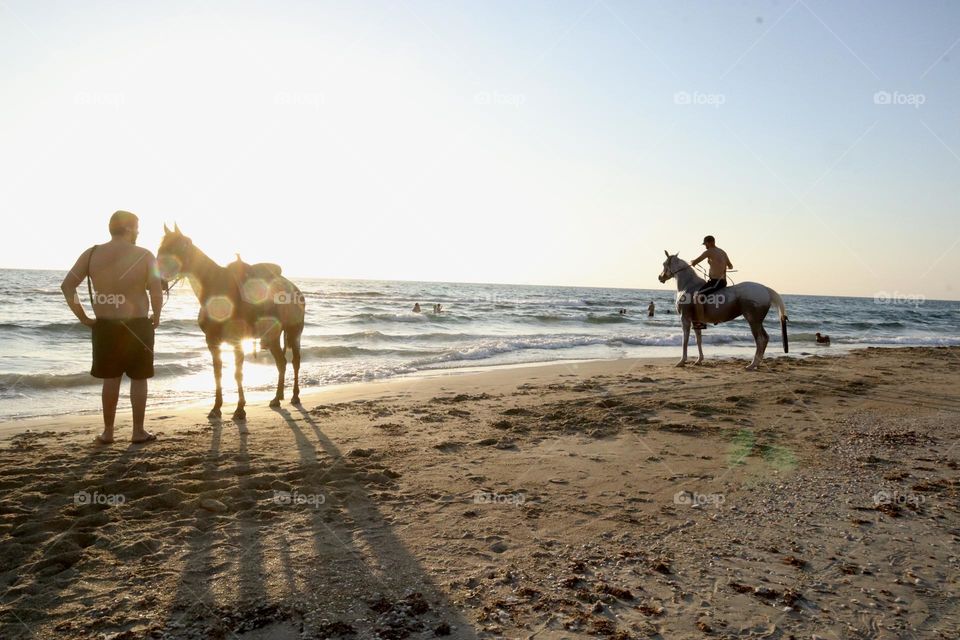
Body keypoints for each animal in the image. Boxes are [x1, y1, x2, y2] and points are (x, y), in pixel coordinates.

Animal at [158, 225, 304, 420]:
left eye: (179, 247)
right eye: (160, 248)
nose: (160, 281)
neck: (216, 290)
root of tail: (295, 289)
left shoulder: (236, 340)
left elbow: (237, 374)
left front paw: (240, 409)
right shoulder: (212, 342)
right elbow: (217, 374)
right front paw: (216, 408)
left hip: (294, 333)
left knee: (295, 362)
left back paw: (295, 396)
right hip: (273, 338)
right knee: (281, 363)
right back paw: (277, 398)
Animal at [660, 251, 788, 370]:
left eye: (664, 264)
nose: (660, 277)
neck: (688, 286)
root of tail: (765, 289)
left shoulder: (685, 319)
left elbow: (685, 340)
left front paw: (682, 361)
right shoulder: (696, 321)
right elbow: (698, 340)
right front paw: (699, 360)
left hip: (753, 321)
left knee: (760, 340)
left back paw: (752, 365)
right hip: (757, 322)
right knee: (765, 339)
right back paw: (756, 364)